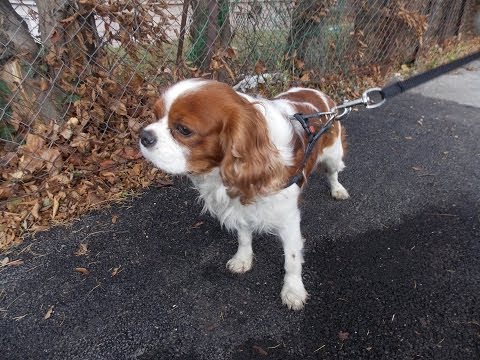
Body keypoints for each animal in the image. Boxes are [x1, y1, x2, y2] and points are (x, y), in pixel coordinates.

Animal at [139, 79, 348, 310]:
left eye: (183, 130)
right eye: (156, 115)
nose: (144, 136)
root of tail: (320, 94)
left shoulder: (289, 219)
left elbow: (292, 259)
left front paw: (293, 290)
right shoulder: (239, 207)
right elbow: (244, 236)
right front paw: (243, 258)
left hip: (334, 155)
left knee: (333, 173)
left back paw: (338, 189)